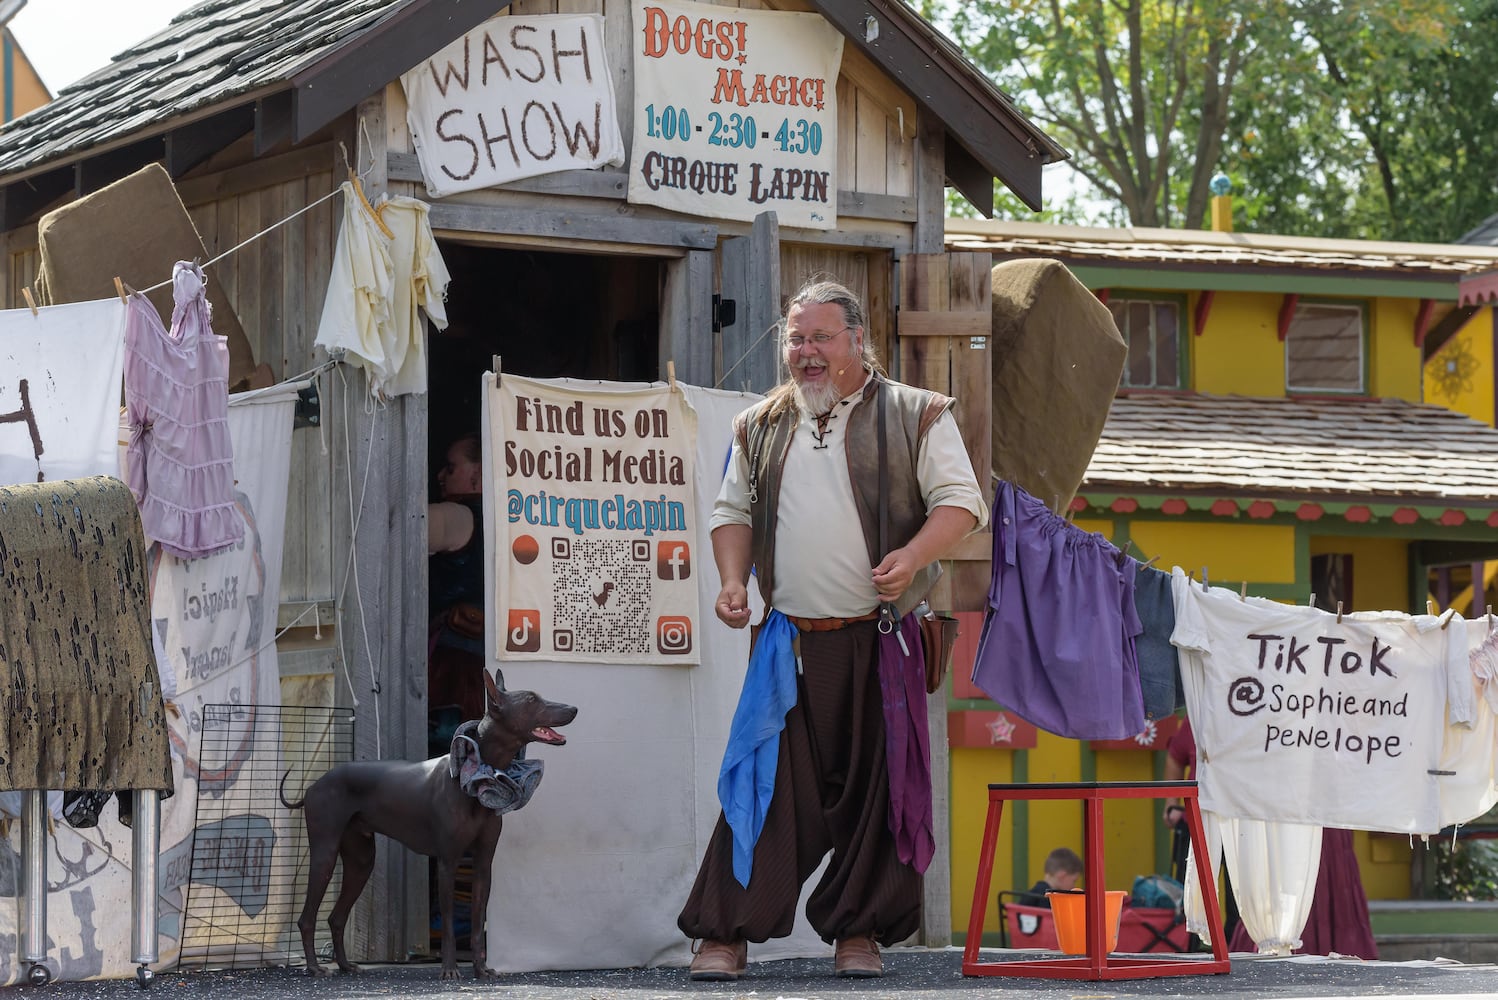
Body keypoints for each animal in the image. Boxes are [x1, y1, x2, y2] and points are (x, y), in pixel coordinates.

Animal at [278, 670, 575, 976]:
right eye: (530, 700)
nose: (573, 709)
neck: (475, 773)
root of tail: (314, 785)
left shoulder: (483, 865)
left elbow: (477, 922)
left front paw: (480, 969)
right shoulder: (447, 862)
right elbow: (448, 924)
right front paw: (450, 969)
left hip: (361, 862)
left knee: (336, 917)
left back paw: (346, 965)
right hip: (325, 853)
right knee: (307, 917)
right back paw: (314, 967)